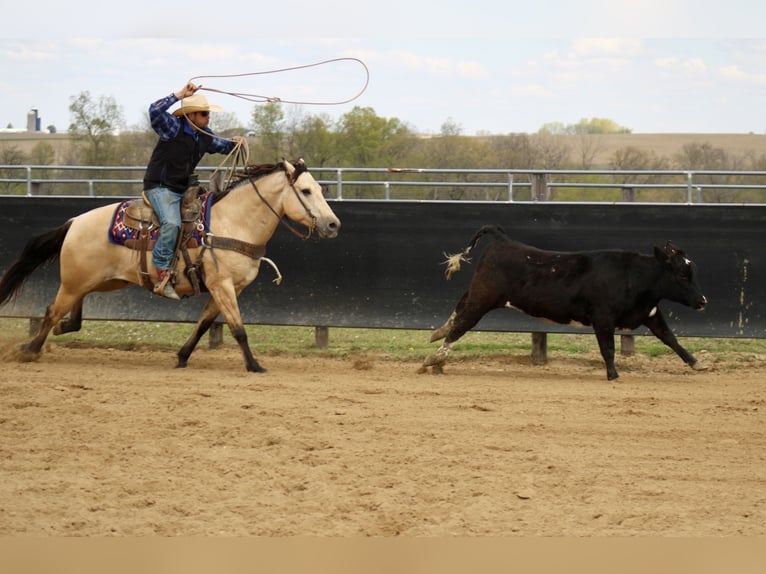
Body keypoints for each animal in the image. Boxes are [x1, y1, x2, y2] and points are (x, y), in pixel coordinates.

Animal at [0, 158, 340, 372]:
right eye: (306, 191)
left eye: (321, 189)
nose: (333, 224)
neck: (232, 222)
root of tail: (73, 223)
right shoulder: (223, 286)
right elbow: (238, 329)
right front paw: (255, 365)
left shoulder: (226, 288)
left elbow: (204, 325)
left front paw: (182, 356)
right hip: (74, 282)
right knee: (51, 311)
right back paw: (29, 350)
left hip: (99, 281)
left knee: (70, 316)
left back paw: (57, 332)